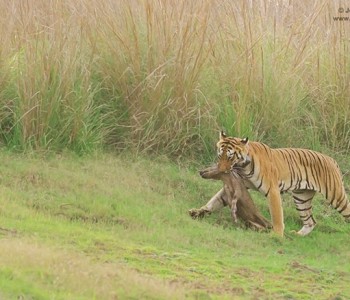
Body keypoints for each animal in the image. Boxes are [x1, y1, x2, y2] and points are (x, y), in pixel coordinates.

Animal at [216, 131, 350, 237]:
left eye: (230, 157)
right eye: (220, 155)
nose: (220, 171)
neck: (244, 167)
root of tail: (332, 159)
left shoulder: (272, 190)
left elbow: (277, 215)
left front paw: (276, 235)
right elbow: (218, 198)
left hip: (336, 197)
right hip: (302, 198)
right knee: (310, 221)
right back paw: (297, 235)